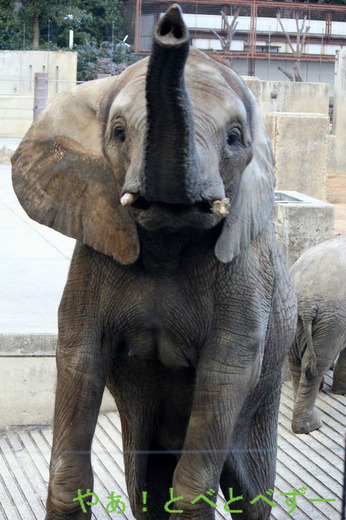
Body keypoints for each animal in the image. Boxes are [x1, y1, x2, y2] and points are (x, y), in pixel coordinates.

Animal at [12, 4, 296, 520]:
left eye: (234, 137)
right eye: (119, 133)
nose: (171, 25)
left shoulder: (244, 279)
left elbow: (228, 371)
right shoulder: (93, 258)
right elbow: (79, 356)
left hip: (267, 398)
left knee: (253, 492)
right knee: (144, 483)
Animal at [290, 234, 346, 432]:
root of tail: (306, 303)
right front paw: (341, 393)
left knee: (296, 361)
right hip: (332, 318)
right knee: (314, 365)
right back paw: (310, 426)